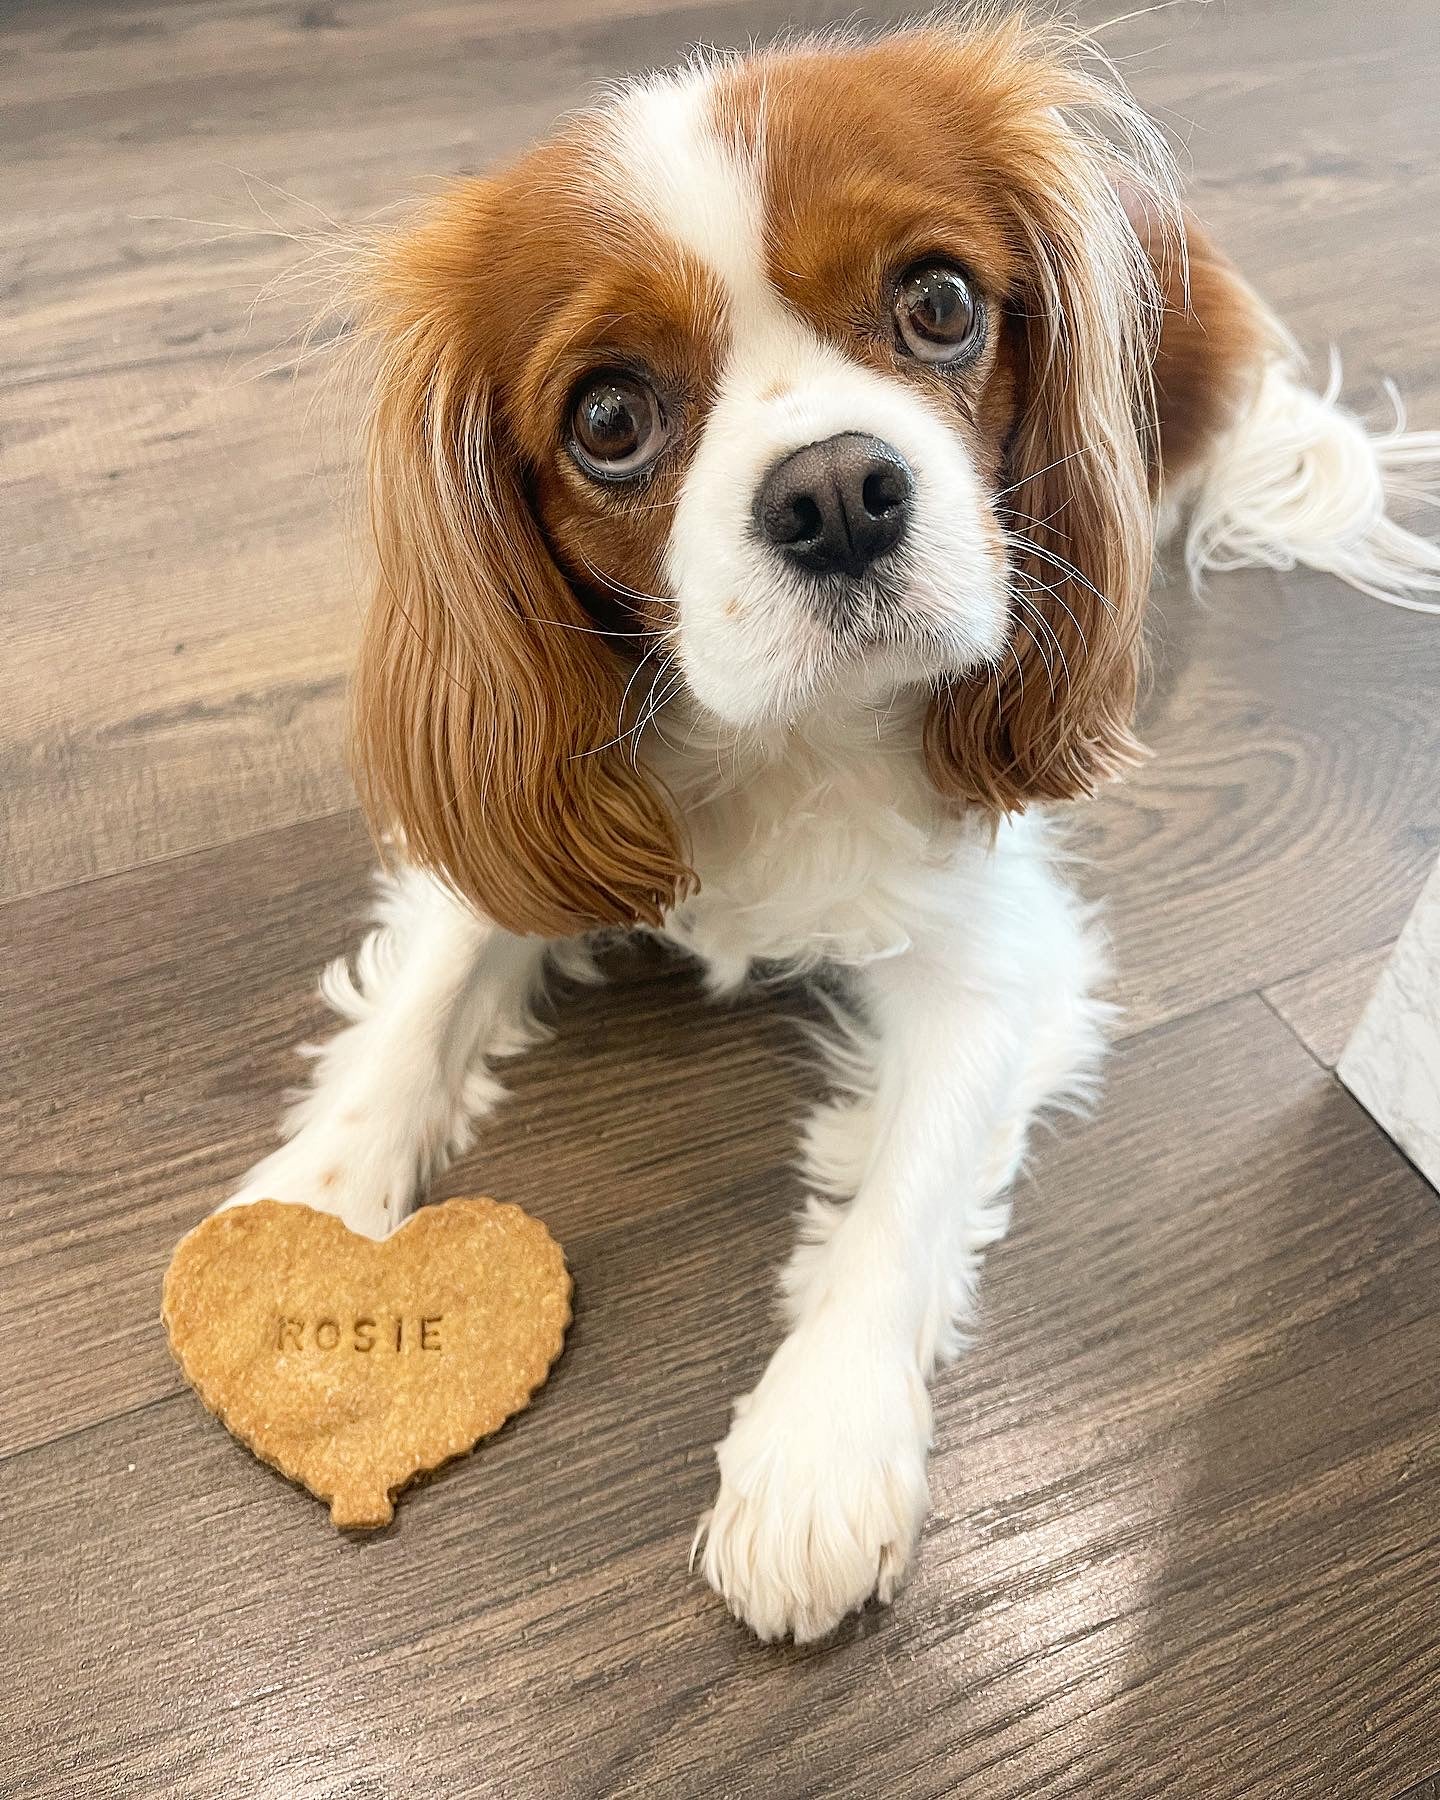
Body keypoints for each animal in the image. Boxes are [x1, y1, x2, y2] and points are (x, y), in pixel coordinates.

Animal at [225, 17, 1440, 1648]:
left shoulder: (998, 962)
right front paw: (310, 1218)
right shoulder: (529, 808)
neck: (786, 735)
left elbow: (903, 1198)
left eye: (939, 304)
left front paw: (815, 1452)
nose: (837, 490)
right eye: (609, 419)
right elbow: (426, 996)